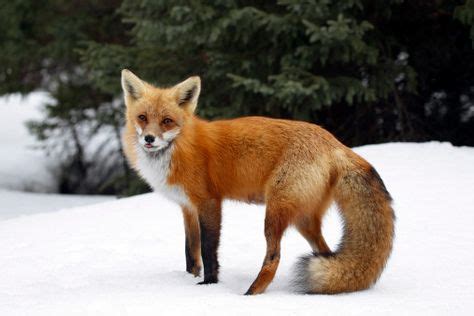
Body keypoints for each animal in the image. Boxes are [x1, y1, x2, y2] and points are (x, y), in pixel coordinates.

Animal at [120, 69, 394, 294]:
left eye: (167, 121)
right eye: (142, 117)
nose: (149, 139)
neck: (180, 146)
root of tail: (336, 143)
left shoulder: (209, 202)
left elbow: (208, 250)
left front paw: (209, 284)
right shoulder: (187, 207)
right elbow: (190, 251)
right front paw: (189, 278)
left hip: (274, 213)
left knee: (274, 257)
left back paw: (251, 293)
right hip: (304, 220)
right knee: (326, 253)